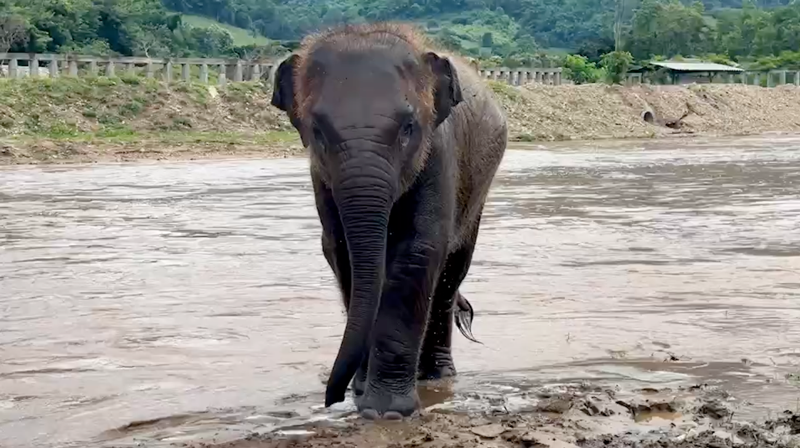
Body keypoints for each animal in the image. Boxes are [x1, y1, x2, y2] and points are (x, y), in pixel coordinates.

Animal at [268, 21, 506, 420]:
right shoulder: (322, 179)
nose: (331, 397)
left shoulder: (439, 154)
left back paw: (436, 377)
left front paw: (387, 412)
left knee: (451, 273)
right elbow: (343, 253)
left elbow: (418, 250)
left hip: (478, 192)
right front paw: (362, 393)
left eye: (408, 127)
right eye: (317, 131)